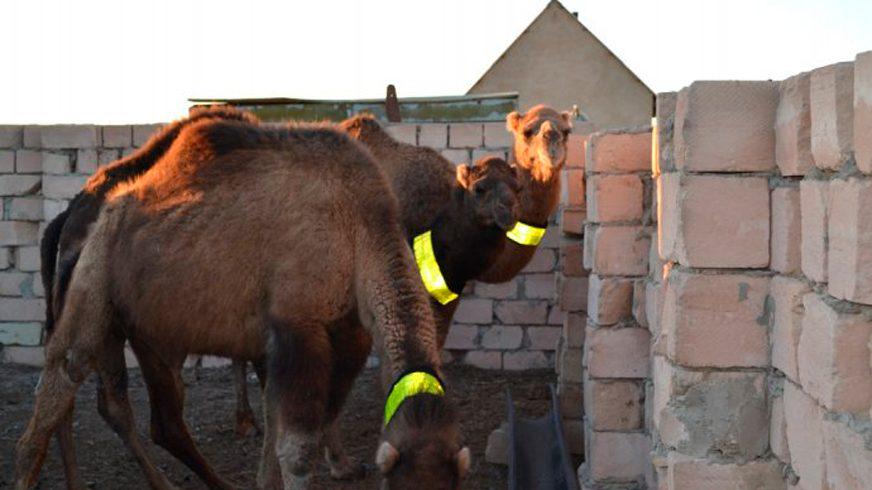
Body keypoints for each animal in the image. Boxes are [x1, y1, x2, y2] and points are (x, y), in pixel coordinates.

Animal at [17, 118, 474, 490]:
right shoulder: (298, 324)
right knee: (61, 377)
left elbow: (276, 427)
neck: (361, 228)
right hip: (95, 276)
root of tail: (85, 214)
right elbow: (297, 448)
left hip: (139, 323)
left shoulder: (332, 331)